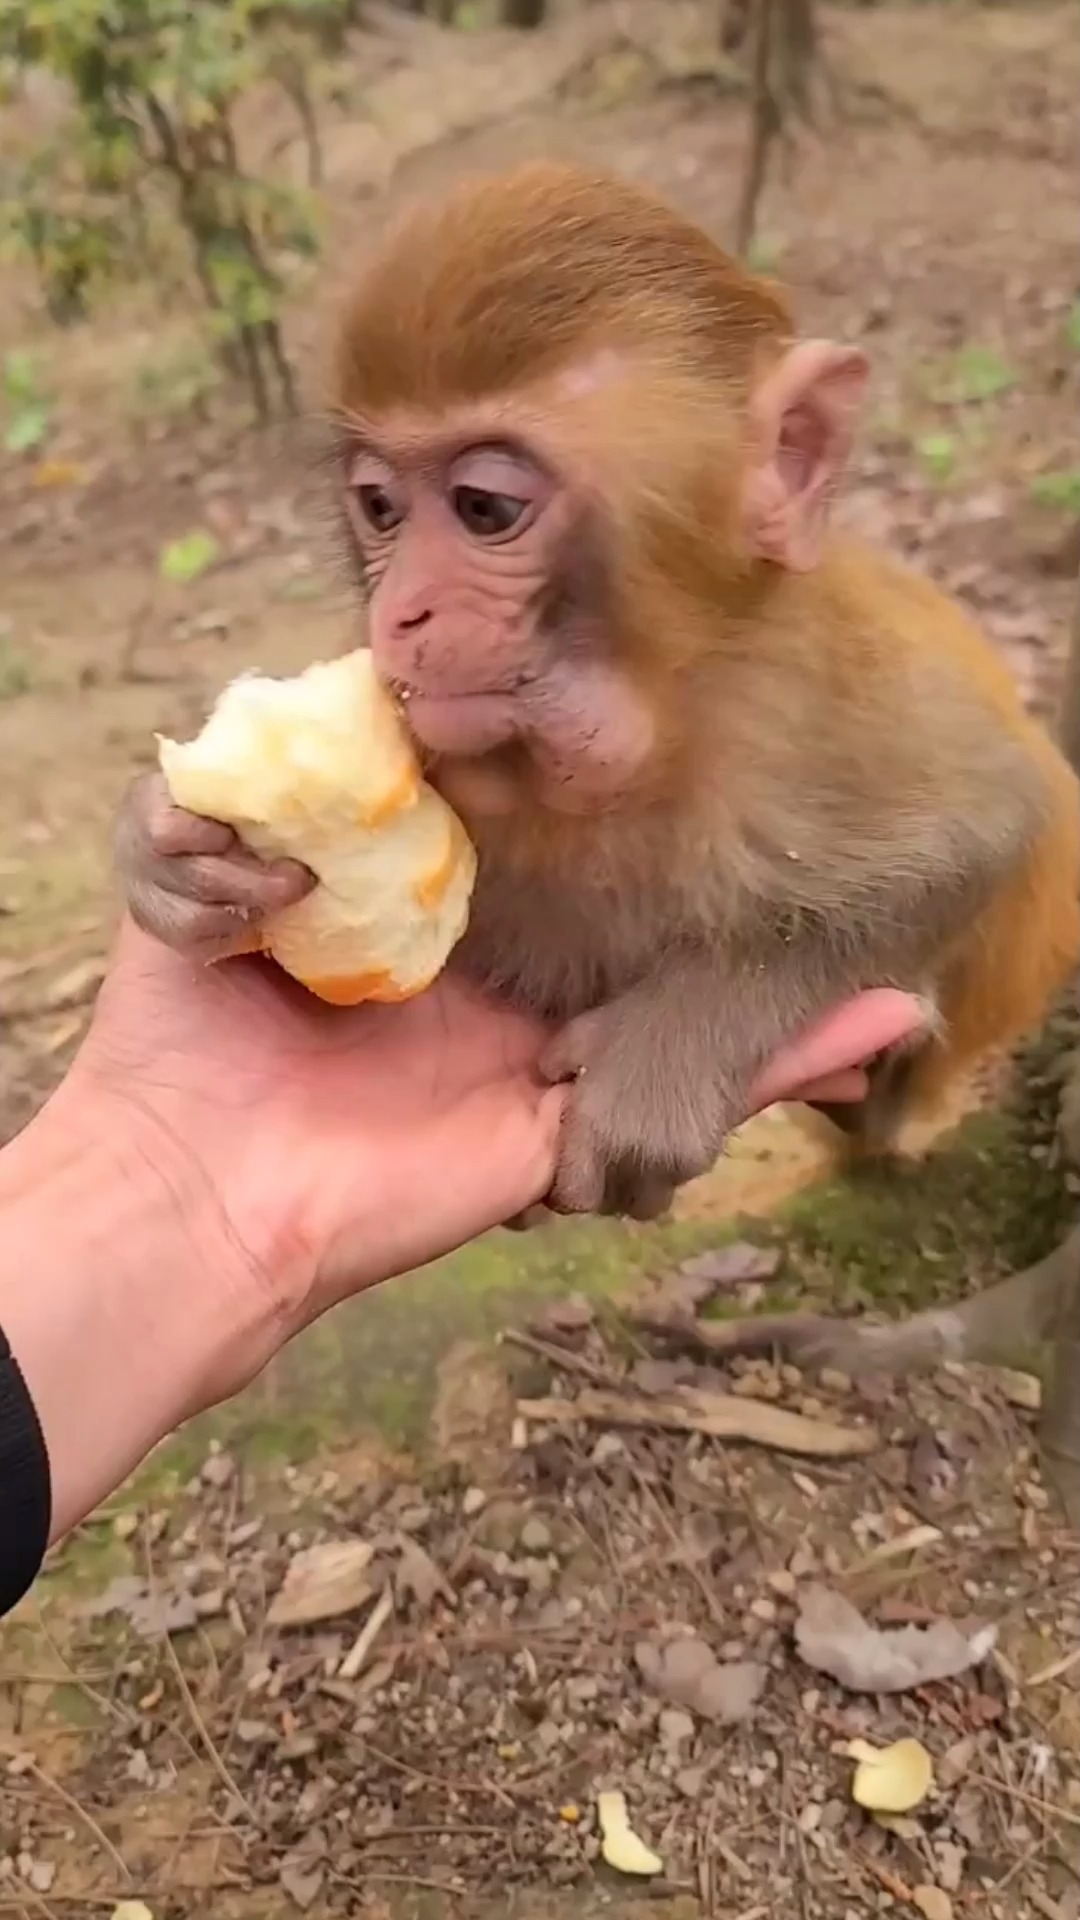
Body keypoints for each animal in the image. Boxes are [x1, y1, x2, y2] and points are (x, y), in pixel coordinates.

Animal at [115, 161, 1076, 1213]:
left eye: (484, 506)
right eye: (378, 508)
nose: (400, 612)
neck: (637, 732)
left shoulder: (810, 698)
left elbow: (984, 832)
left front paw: (666, 1050)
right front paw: (163, 853)